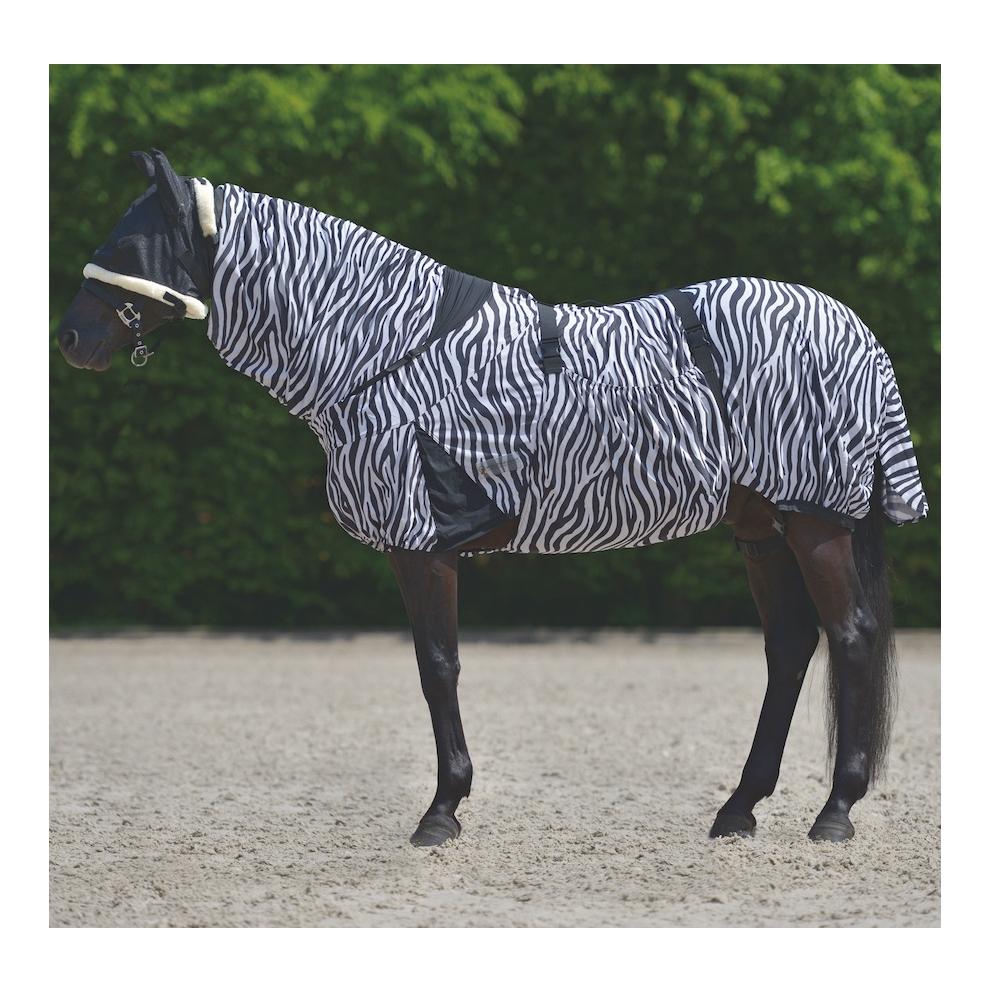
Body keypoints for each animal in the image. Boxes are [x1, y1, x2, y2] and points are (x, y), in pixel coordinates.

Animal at [57, 149, 928, 847]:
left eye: (128, 244)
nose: (70, 339)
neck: (381, 349)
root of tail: (854, 329)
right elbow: (436, 665)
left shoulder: (420, 542)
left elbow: (437, 666)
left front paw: (441, 810)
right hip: (760, 525)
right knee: (789, 647)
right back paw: (738, 808)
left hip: (812, 522)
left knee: (849, 637)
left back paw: (834, 811)